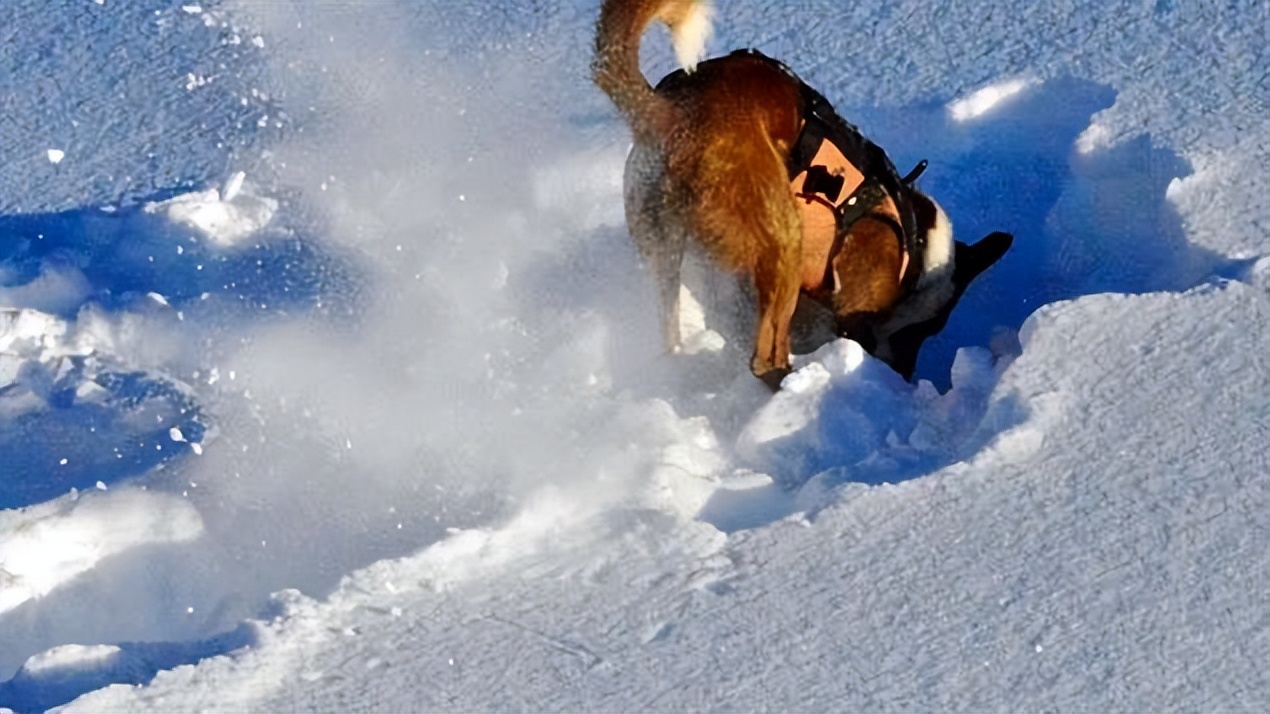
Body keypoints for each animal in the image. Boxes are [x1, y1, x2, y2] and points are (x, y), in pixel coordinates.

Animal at [594, 0, 1010, 383]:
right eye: (926, 331)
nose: (903, 378)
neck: (918, 246)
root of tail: (672, 115)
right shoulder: (854, 307)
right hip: (784, 243)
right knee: (764, 359)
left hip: (663, 245)